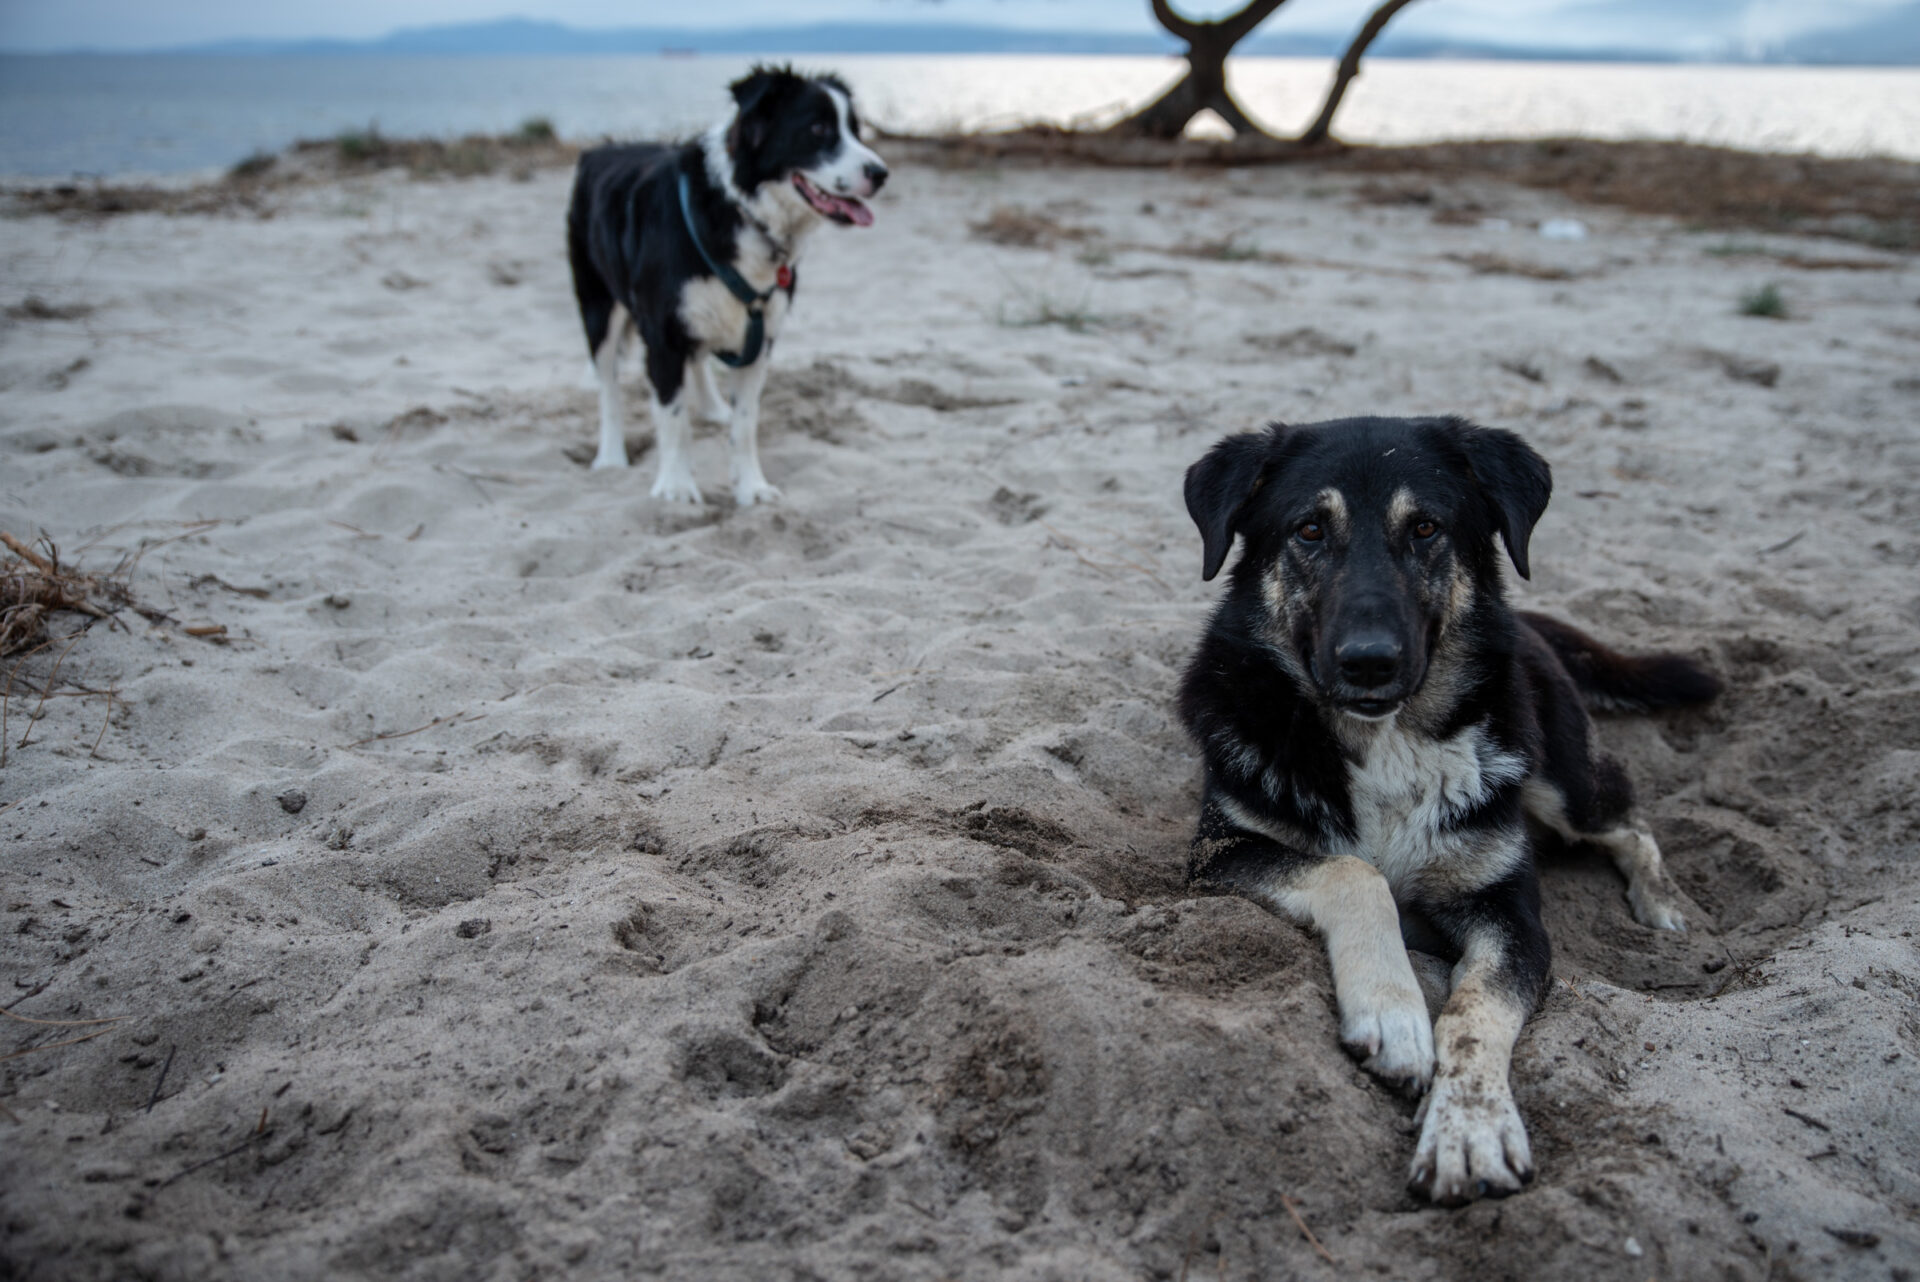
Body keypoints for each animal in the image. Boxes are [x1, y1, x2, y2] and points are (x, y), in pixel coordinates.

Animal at [566, 66, 887, 506]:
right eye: (818, 128)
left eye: (856, 130)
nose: (881, 174)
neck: (739, 209)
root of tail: (598, 152)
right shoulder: (663, 336)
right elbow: (673, 419)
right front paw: (676, 486)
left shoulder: (760, 336)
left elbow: (745, 424)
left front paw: (752, 487)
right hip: (598, 306)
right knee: (608, 386)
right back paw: (611, 457)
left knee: (697, 360)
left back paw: (713, 407)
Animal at [1176, 415, 1719, 1205]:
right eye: (1309, 529)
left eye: (1426, 527)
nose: (1369, 661)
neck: (1386, 740)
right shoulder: (1220, 852)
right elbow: (1354, 872)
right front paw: (1396, 1014)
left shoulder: (1510, 915)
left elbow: (1475, 1010)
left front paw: (1470, 1131)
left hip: (1563, 780)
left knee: (1630, 823)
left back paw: (1667, 905)